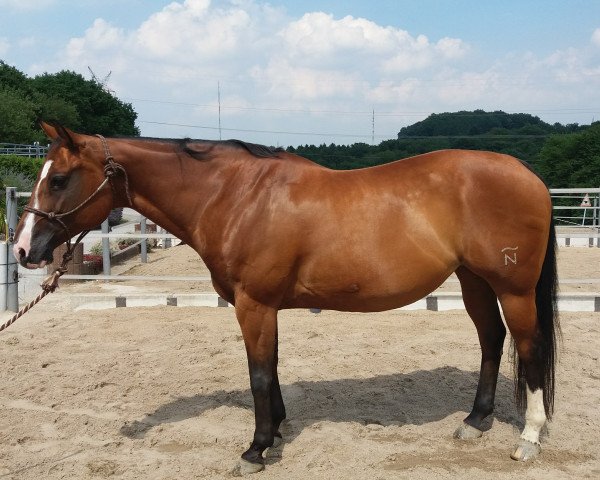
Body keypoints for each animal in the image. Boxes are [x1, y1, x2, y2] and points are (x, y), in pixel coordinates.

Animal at [14, 122, 556, 474]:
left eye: (58, 179)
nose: (23, 249)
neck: (235, 197)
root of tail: (525, 171)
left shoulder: (254, 304)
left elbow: (257, 373)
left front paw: (255, 450)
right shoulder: (262, 307)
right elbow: (270, 369)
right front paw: (274, 430)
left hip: (512, 289)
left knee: (528, 349)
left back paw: (528, 439)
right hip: (474, 281)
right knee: (491, 340)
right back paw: (475, 421)